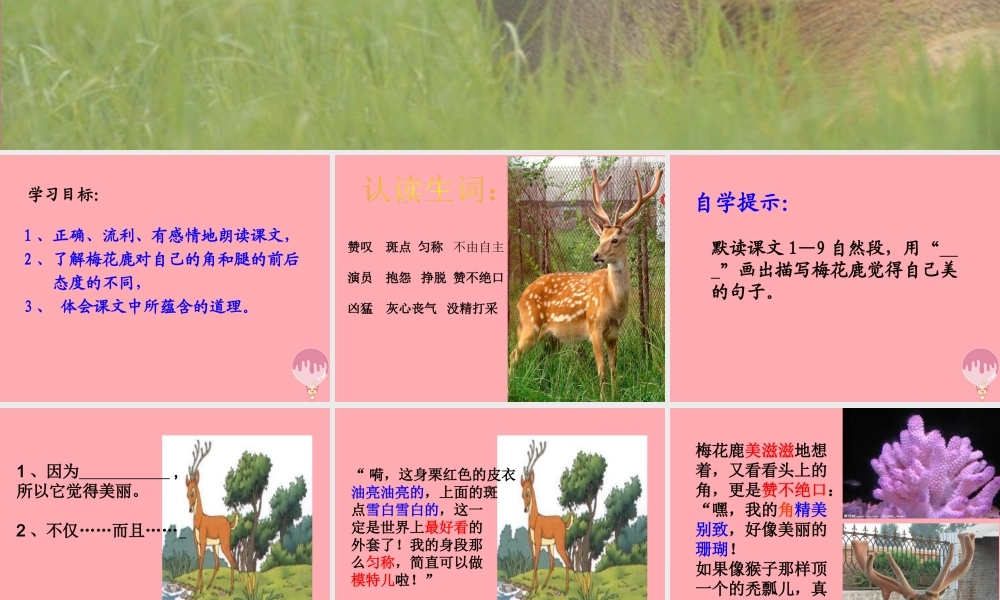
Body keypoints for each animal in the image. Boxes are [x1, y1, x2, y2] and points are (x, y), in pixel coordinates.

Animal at [185, 440, 239, 596]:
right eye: (187, 493)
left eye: (193, 491)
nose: (190, 509)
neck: (200, 520)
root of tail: (229, 522)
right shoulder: (197, 544)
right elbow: (199, 561)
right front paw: (199, 588)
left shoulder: (203, 543)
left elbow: (202, 562)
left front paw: (197, 590)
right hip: (216, 546)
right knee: (217, 563)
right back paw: (209, 586)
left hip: (225, 544)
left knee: (232, 561)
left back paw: (231, 591)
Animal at [509, 166, 663, 400]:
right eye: (600, 238)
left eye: (615, 239)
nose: (595, 255)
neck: (614, 303)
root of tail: (521, 297)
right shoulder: (594, 326)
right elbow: (601, 369)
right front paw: (603, 398)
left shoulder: (614, 333)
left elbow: (613, 367)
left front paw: (615, 395)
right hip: (530, 325)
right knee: (514, 354)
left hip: (552, 338)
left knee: (542, 360)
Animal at [520, 440, 574, 595]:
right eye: (521, 493)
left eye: (528, 491)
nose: (525, 509)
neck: (535, 520)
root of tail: (564, 522)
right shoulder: (532, 544)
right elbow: (534, 561)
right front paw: (535, 588)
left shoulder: (538, 543)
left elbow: (537, 562)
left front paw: (531, 590)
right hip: (551, 546)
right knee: (552, 563)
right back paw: (544, 586)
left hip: (560, 544)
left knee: (567, 561)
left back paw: (566, 591)